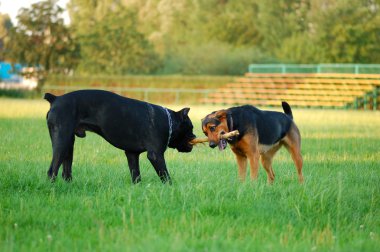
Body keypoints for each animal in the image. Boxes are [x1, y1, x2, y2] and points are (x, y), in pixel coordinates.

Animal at [44, 89, 196, 184]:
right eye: (191, 128)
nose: (194, 135)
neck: (168, 121)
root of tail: (56, 98)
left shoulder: (132, 154)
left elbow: (136, 175)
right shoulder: (155, 155)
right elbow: (165, 176)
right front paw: (170, 188)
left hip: (69, 145)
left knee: (66, 171)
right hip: (62, 142)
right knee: (52, 171)